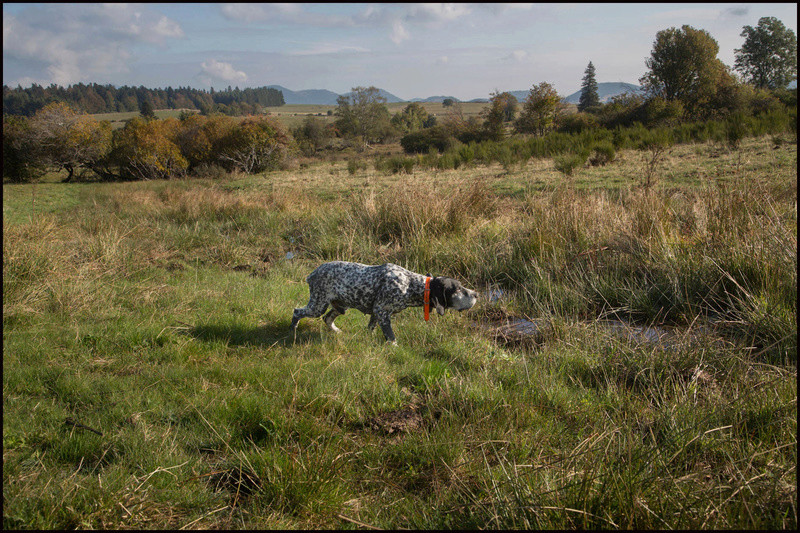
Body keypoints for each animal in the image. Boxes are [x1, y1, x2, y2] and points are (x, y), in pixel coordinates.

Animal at [290, 260, 478, 342]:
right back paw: (293, 331)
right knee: (297, 312)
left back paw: (336, 331)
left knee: (327, 318)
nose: (476, 294)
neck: (410, 284)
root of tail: (312, 274)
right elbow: (392, 338)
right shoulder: (382, 311)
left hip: (340, 306)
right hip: (317, 305)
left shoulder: (376, 313)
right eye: (458, 289)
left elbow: (371, 329)